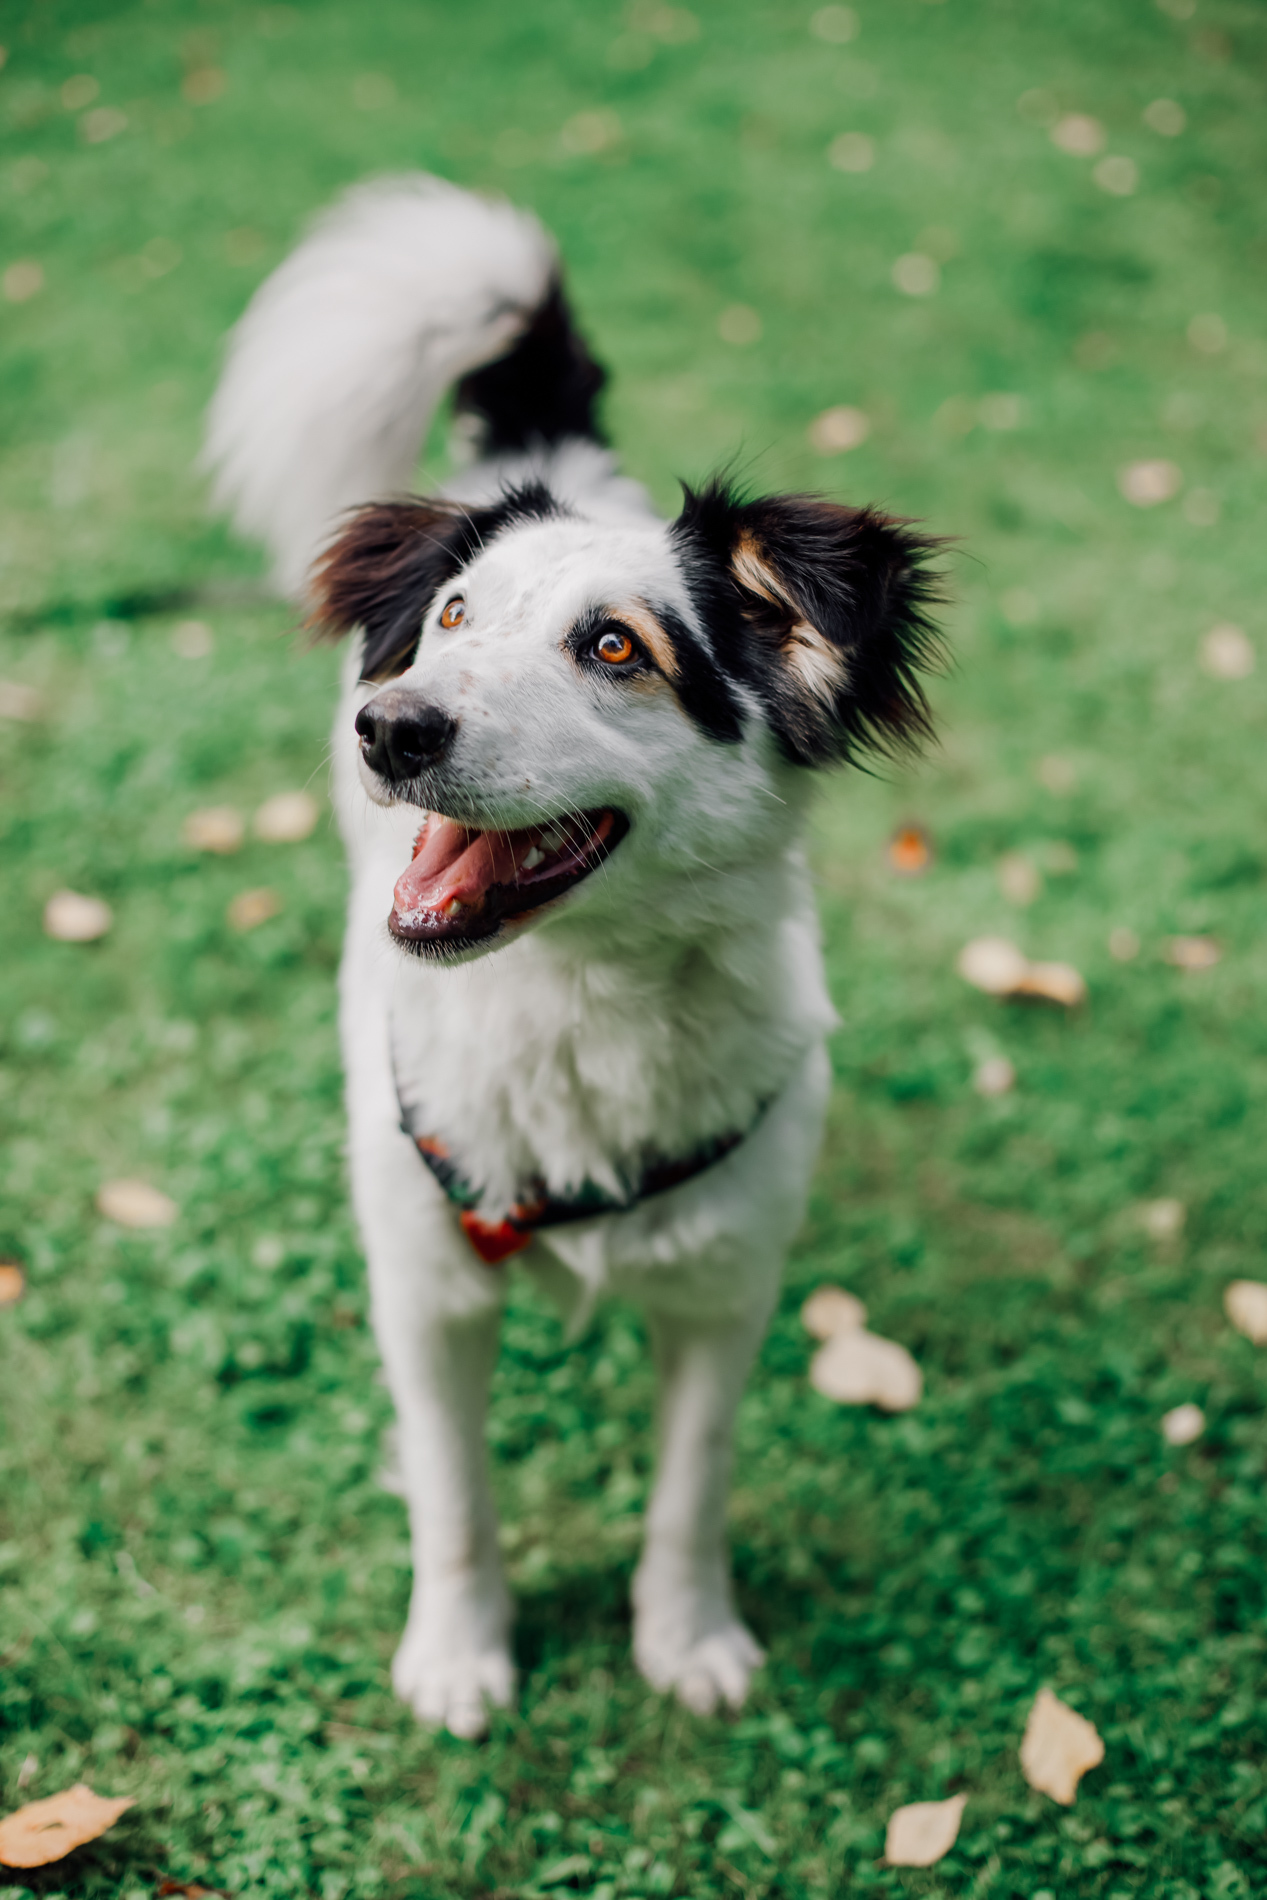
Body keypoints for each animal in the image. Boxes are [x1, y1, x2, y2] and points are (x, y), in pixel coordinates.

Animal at [208, 174, 942, 1740]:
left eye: (615, 649)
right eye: (451, 620)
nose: (391, 728)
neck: (578, 1005)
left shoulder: (726, 1289)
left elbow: (690, 1489)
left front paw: (686, 1635)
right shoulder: (423, 1291)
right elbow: (454, 1497)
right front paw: (459, 1651)